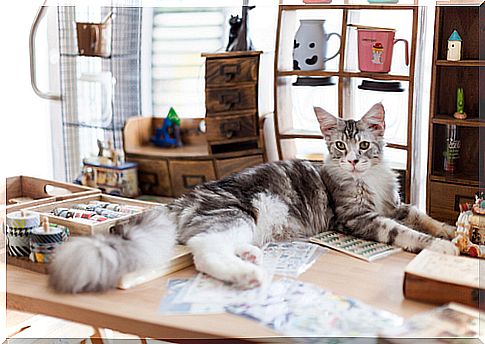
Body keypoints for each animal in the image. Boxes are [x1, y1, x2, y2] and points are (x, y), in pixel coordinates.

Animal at [49, 102, 458, 292]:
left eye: (365, 145)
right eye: (340, 146)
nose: (354, 161)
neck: (367, 180)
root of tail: (182, 200)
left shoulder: (395, 204)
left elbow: (424, 217)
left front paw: (454, 233)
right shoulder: (358, 217)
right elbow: (406, 234)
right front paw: (444, 249)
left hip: (243, 224)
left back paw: (249, 256)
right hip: (240, 214)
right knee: (202, 251)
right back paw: (246, 274)